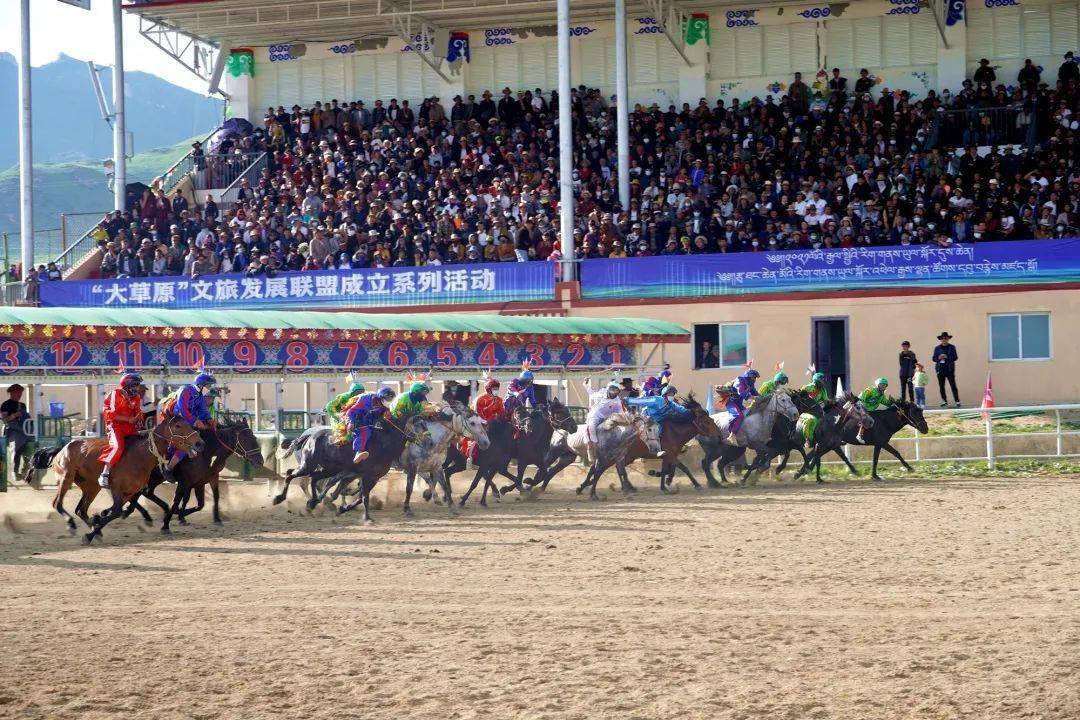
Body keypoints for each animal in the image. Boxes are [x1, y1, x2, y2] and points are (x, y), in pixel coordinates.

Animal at [44, 415, 204, 544]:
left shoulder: (131, 491)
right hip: (66, 477)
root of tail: (63, 448)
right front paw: (90, 533)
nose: (199, 443)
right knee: (58, 503)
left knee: (81, 510)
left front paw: (98, 522)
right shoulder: (116, 487)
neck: (140, 456)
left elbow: (118, 510)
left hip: (91, 486)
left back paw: (95, 529)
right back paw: (71, 524)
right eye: (178, 425)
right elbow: (115, 511)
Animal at [120, 419, 264, 533]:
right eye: (246, 439)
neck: (207, 453)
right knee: (138, 493)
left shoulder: (207, 479)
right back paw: (133, 512)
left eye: (255, 438)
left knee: (146, 492)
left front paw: (216, 518)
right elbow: (178, 501)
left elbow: (206, 501)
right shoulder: (186, 482)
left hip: (156, 477)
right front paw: (168, 523)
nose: (260, 461)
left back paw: (144, 513)